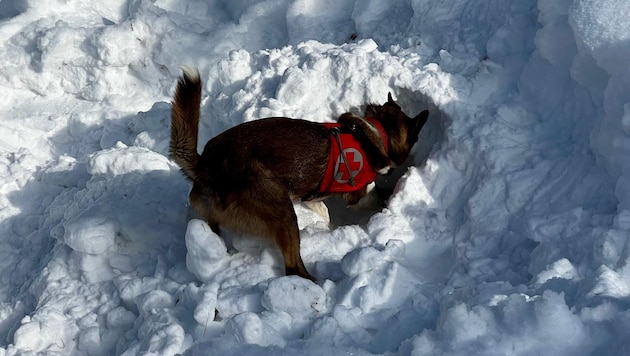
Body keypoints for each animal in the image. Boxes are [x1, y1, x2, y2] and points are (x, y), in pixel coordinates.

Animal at [172, 68, 430, 282]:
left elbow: (323, 208)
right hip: (281, 211)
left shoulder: (312, 195)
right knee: (293, 268)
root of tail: (207, 165)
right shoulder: (358, 195)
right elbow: (373, 196)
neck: (378, 132)